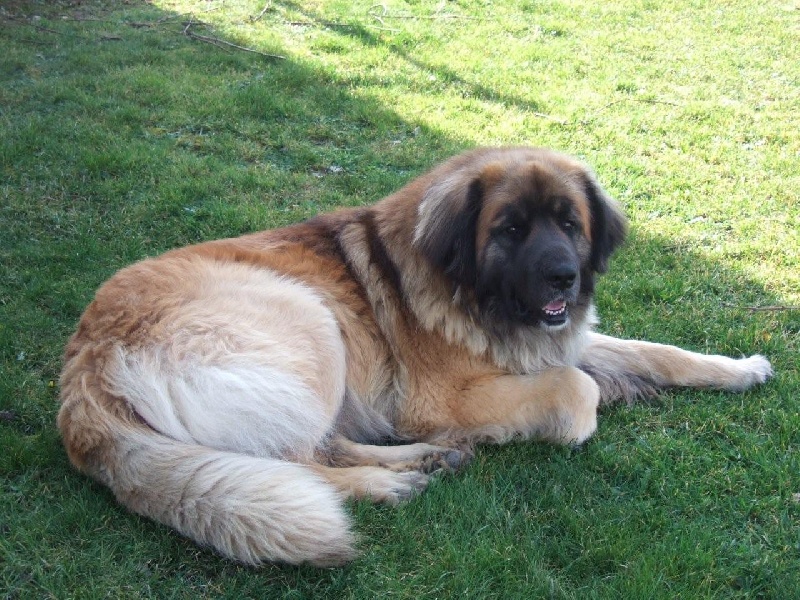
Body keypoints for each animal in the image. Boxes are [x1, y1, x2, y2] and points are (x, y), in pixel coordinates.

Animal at [58, 147, 772, 566]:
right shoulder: (445, 396)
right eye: (511, 230)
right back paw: (392, 482)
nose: (564, 278)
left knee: (323, 447)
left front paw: (739, 369)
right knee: (298, 460)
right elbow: (576, 387)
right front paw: (577, 412)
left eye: (570, 223)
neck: (470, 291)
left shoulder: (556, 336)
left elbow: (654, 351)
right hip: (309, 319)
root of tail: (84, 375)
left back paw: (425, 461)